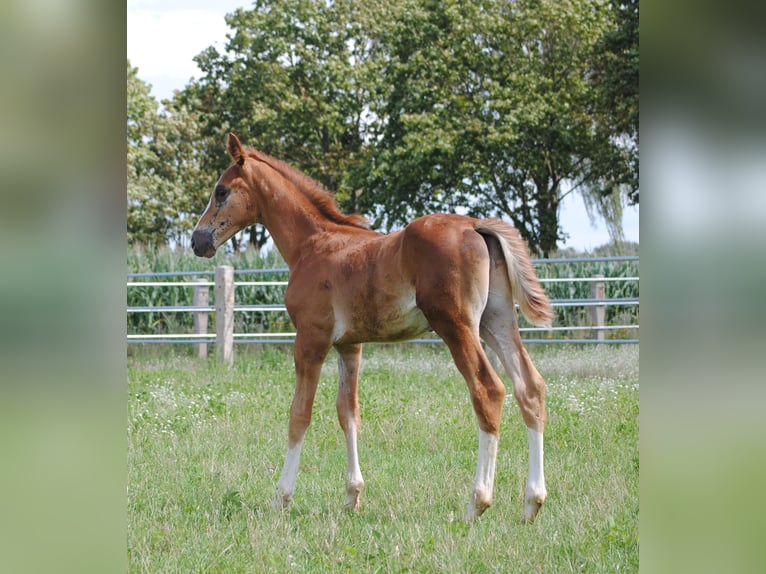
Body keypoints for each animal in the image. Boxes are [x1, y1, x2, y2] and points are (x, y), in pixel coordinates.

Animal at [191, 133, 553, 522]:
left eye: (221, 191)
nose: (198, 241)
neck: (311, 244)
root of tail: (475, 226)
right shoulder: (349, 345)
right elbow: (348, 413)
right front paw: (353, 496)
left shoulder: (311, 340)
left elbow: (299, 414)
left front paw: (282, 497)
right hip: (496, 320)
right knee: (530, 387)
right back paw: (532, 503)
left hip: (456, 325)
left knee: (488, 390)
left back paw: (477, 502)